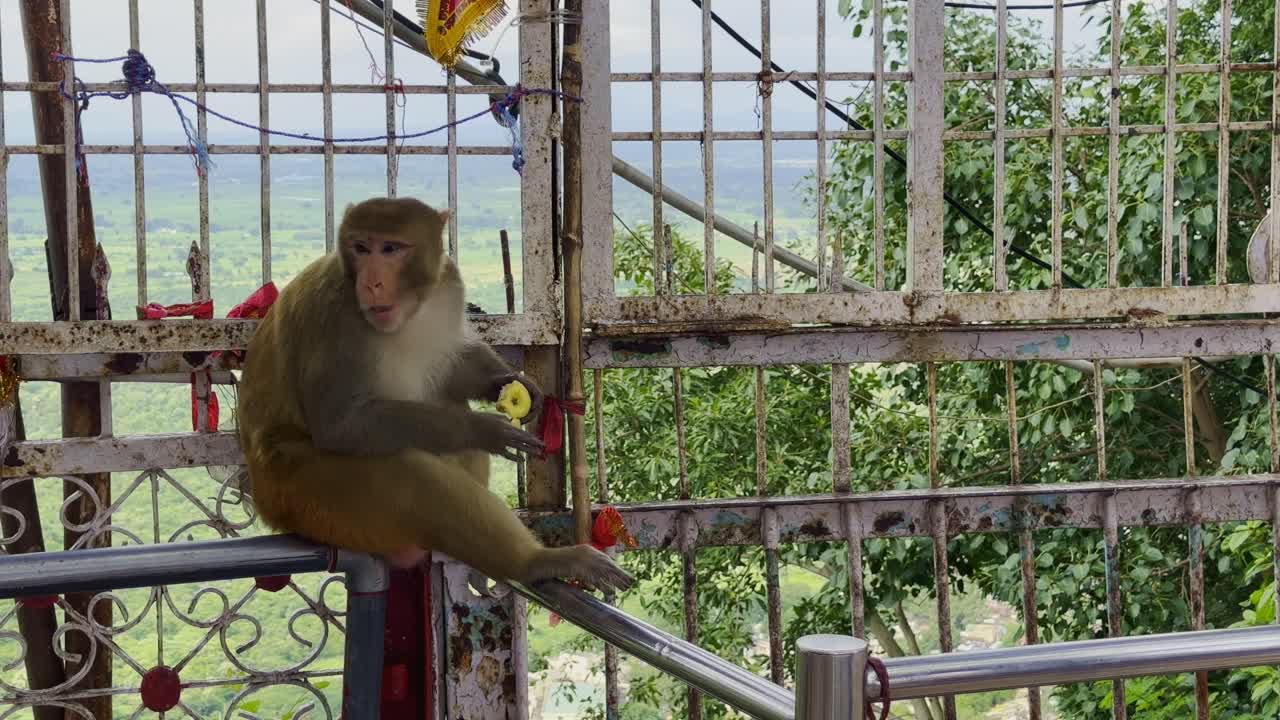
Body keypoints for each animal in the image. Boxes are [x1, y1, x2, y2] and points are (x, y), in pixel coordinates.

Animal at [235, 196, 635, 594]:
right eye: (361, 248)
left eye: (390, 248)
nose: (372, 283)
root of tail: (264, 498)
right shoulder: (335, 314)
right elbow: (341, 424)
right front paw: (483, 429)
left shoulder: (448, 283)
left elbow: (452, 364)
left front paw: (509, 383)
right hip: (306, 496)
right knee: (412, 479)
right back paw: (533, 562)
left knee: (444, 406)